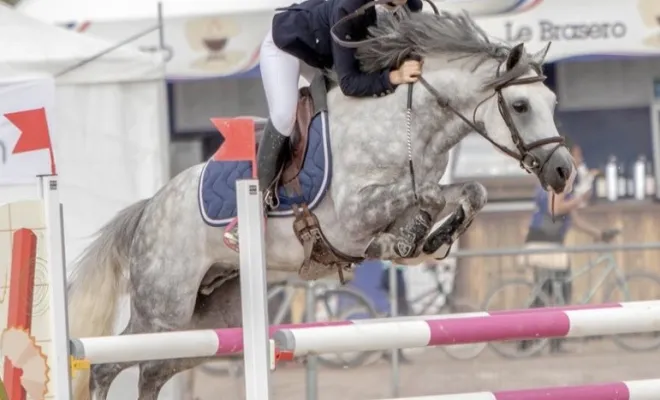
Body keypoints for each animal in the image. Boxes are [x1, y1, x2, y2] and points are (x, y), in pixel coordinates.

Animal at [68, 9, 572, 400]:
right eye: (521, 105)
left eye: (552, 101)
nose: (564, 171)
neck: (408, 125)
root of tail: (150, 206)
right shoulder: (350, 216)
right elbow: (419, 198)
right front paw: (403, 242)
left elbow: (469, 192)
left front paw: (430, 237)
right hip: (163, 310)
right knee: (105, 364)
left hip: (206, 319)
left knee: (153, 371)